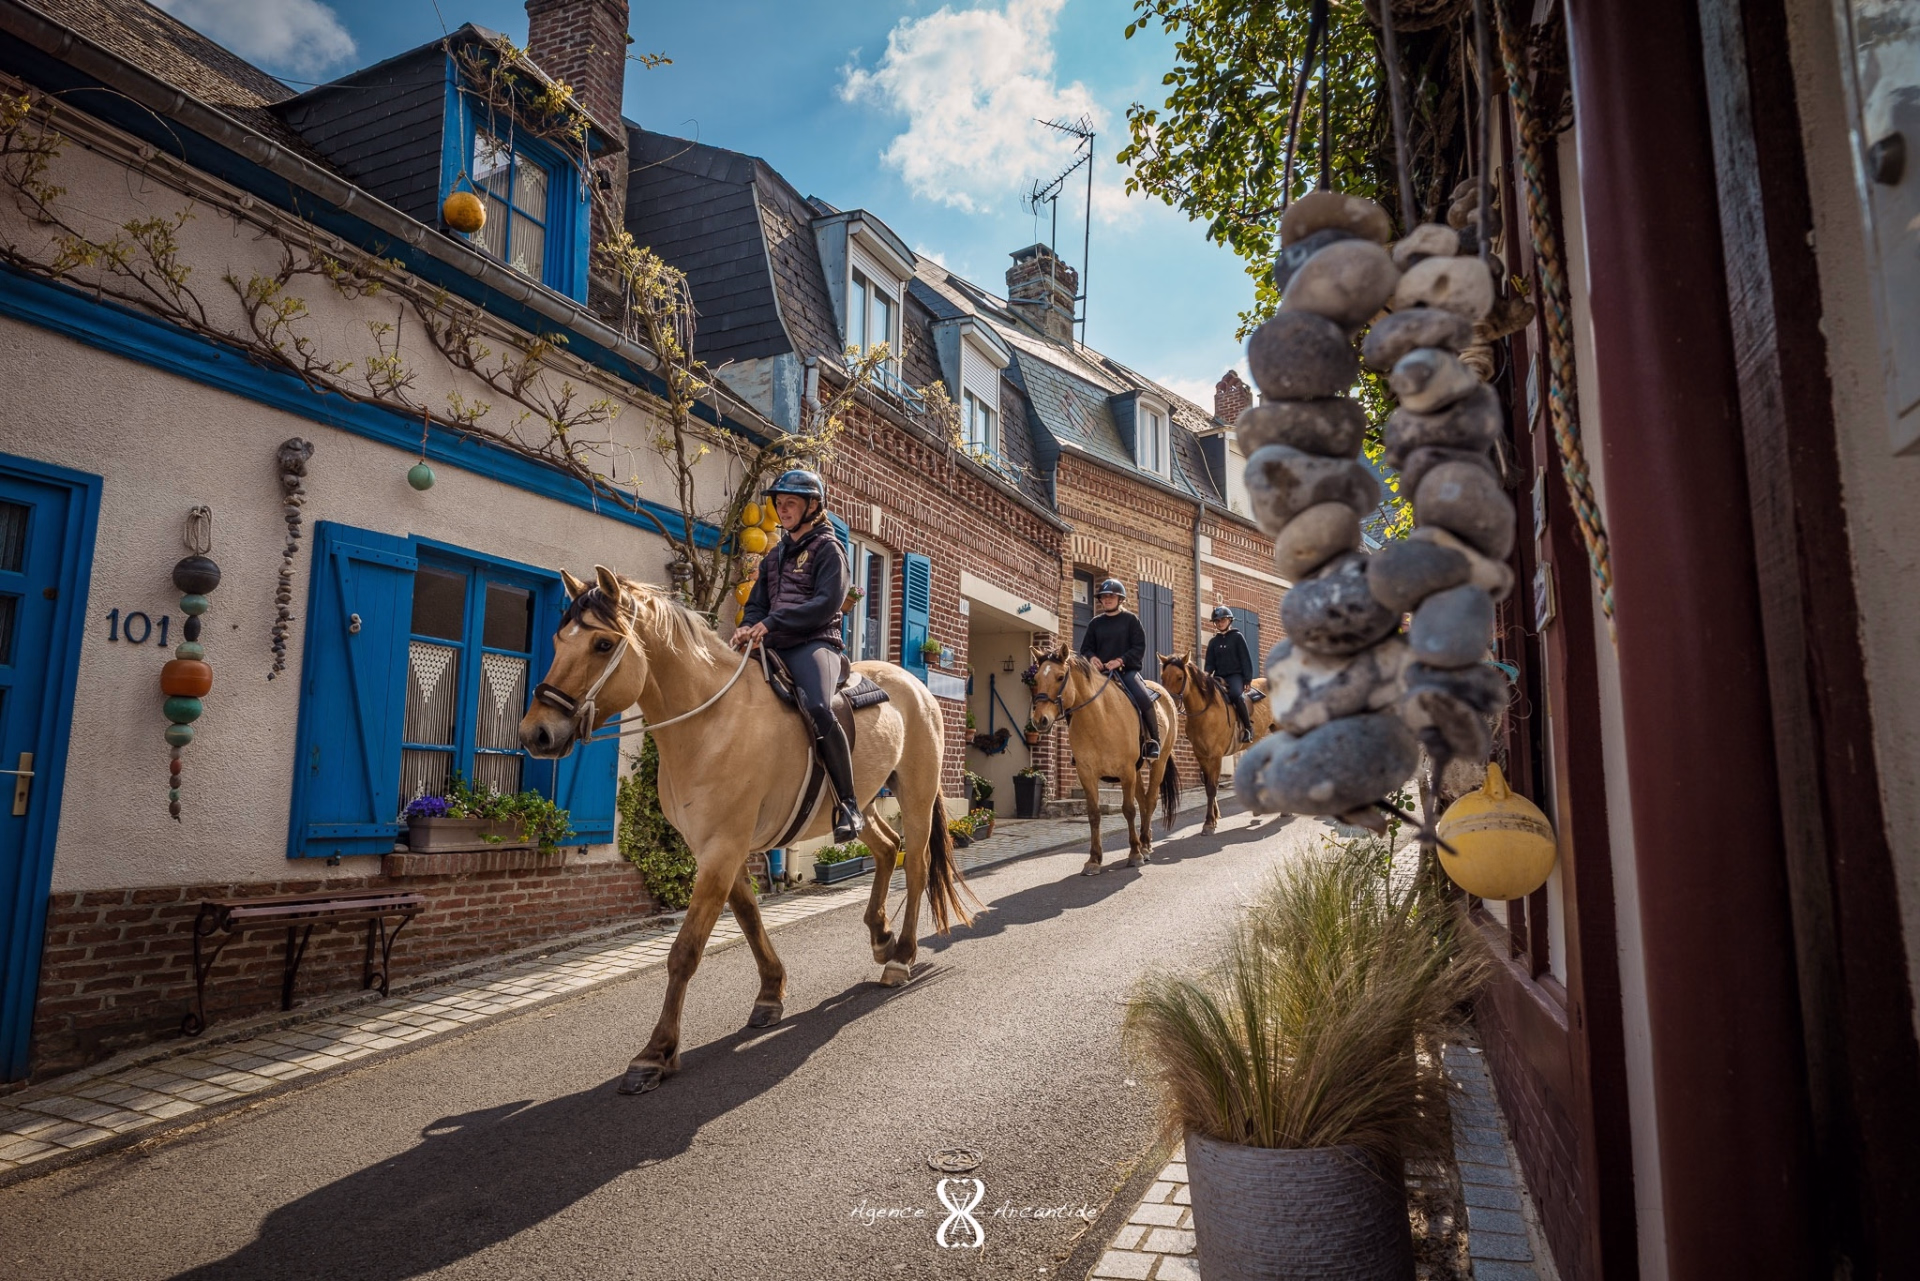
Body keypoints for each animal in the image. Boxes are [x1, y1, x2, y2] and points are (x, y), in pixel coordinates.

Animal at [519, 566, 973, 1094]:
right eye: (559, 639)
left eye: (603, 644)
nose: (536, 734)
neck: (710, 722)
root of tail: (914, 685)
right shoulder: (717, 849)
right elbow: (750, 918)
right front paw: (771, 993)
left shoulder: (723, 848)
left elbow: (685, 951)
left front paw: (655, 1053)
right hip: (859, 804)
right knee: (885, 848)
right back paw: (880, 937)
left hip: (916, 795)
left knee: (916, 866)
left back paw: (901, 956)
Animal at [1027, 646, 1180, 874]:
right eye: (1035, 679)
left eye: (1060, 677)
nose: (1039, 720)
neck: (1099, 718)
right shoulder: (1087, 773)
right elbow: (1094, 814)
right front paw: (1094, 859)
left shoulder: (1125, 771)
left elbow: (1128, 810)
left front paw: (1134, 855)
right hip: (1136, 771)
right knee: (1144, 802)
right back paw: (1145, 843)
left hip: (1157, 765)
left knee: (1151, 801)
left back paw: (1143, 846)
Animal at [1156, 654, 1239, 835]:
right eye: (1162, 677)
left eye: (1180, 677)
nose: (1168, 703)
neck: (1205, 712)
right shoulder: (1201, 755)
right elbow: (1208, 785)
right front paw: (1213, 818)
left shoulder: (1215, 756)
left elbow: (1212, 787)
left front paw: (1209, 823)